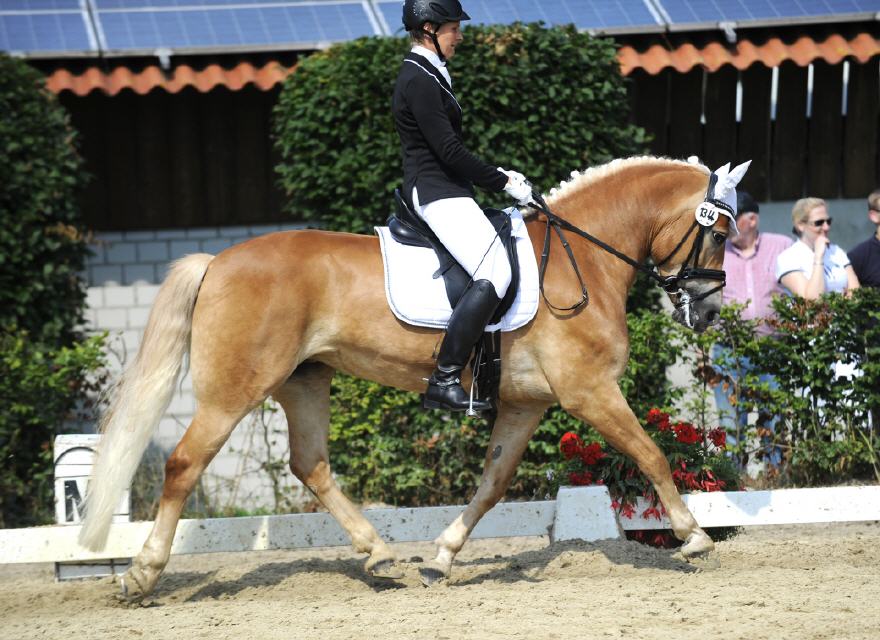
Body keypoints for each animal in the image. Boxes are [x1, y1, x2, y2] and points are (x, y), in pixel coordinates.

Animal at [81, 155, 736, 600]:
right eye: (721, 233)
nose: (706, 313)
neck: (585, 260)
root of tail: (217, 260)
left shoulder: (525, 405)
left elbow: (492, 484)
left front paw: (442, 557)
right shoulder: (590, 392)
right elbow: (651, 454)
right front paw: (694, 536)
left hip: (305, 380)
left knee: (311, 465)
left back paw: (380, 556)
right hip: (235, 390)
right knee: (184, 464)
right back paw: (142, 575)